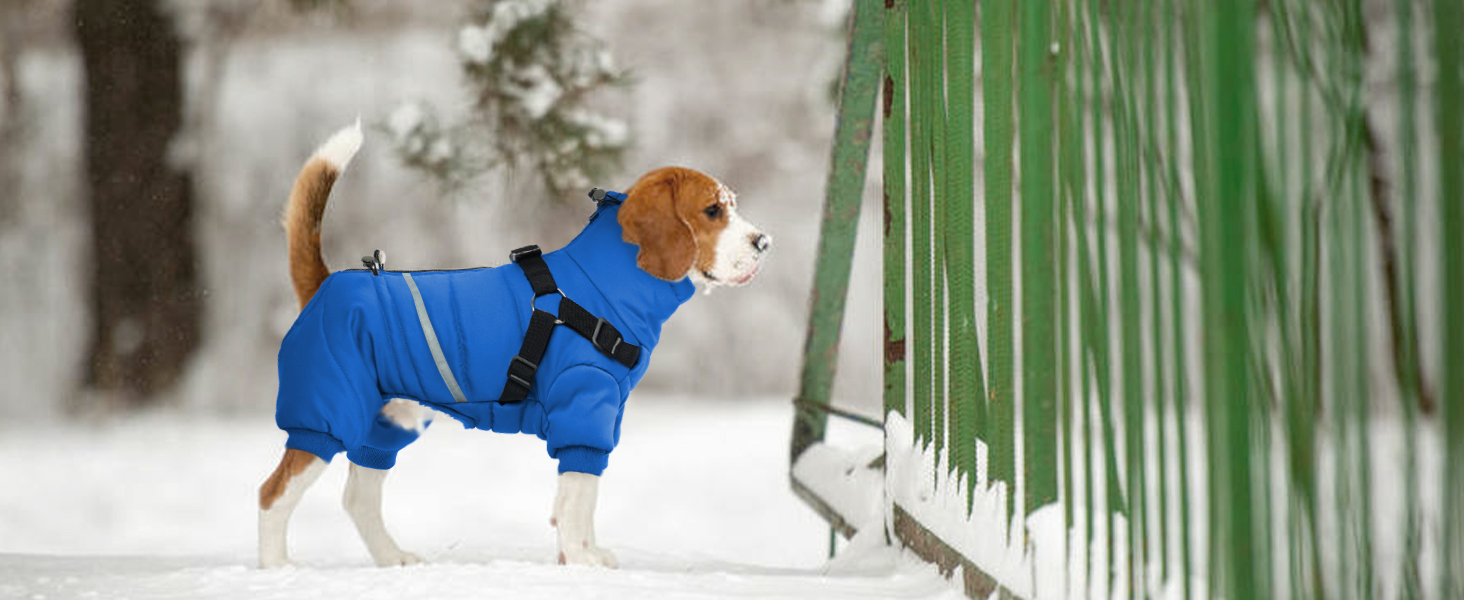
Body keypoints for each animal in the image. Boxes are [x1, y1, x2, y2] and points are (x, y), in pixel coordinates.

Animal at [257, 122, 772, 567]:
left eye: (732, 205)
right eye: (712, 210)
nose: (764, 242)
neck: (599, 285)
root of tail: (325, 284)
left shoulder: (600, 413)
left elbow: (579, 497)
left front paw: (582, 556)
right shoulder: (583, 405)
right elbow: (578, 496)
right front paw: (582, 559)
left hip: (385, 425)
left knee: (359, 497)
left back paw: (393, 559)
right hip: (325, 416)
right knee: (273, 495)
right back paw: (278, 567)